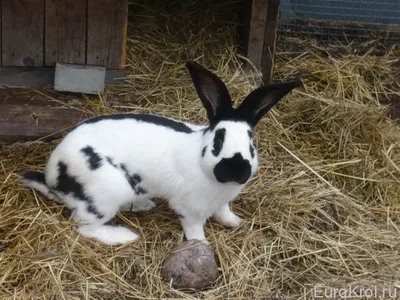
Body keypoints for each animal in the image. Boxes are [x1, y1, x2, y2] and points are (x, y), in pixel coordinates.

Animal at [19, 61, 300, 246]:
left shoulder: (222, 202)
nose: (236, 169)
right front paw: (201, 245)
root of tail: (53, 177)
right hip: (104, 192)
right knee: (83, 225)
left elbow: (224, 212)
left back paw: (144, 204)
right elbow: (194, 228)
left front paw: (234, 222)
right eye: (218, 141)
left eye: (251, 143)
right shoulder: (190, 208)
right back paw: (124, 235)